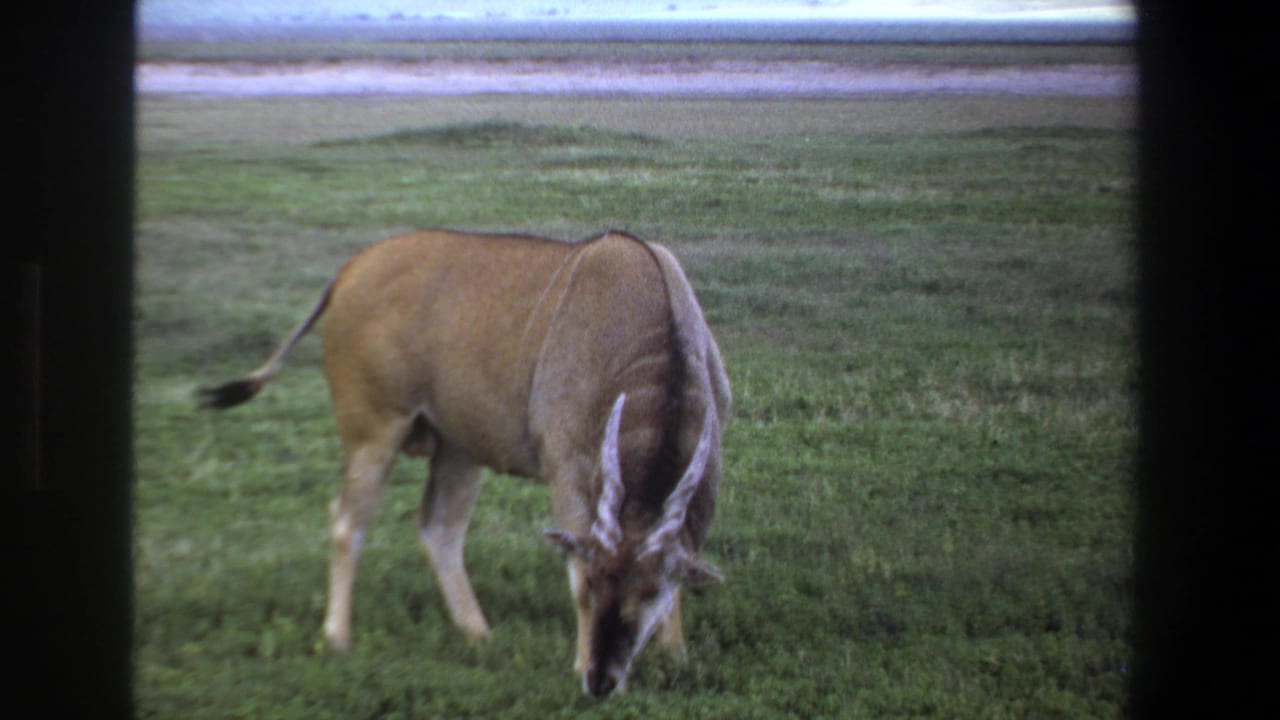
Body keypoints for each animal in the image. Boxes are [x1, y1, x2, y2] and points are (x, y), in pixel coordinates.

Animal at [200, 229, 730, 696]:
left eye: (650, 591)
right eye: (596, 585)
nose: (601, 681)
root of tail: (349, 271)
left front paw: (677, 655)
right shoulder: (567, 471)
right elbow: (573, 564)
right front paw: (581, 660)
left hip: (460, 449)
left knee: (438, 528)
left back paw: (479, 634)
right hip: (374, 430)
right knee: (348, 520)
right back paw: (338, 637)